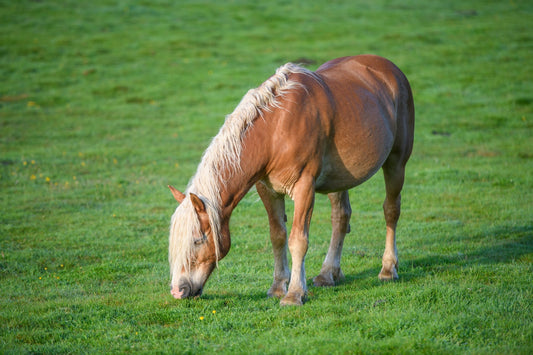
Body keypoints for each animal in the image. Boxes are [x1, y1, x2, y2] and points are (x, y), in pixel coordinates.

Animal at [168, 55, 414, 306]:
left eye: (197, 240)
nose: (178, 290)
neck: (275, 130)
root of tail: (389, 68)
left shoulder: (304, 188)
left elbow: (298, 240)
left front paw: (295, 293)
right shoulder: (267, 190)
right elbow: (278, 236)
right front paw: (278, 287)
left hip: (396, 163)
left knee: (391, 210)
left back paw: (388, 269)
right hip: (339, 179)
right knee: (341, 217)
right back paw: (328, 274)